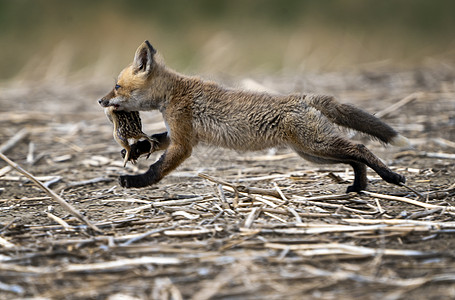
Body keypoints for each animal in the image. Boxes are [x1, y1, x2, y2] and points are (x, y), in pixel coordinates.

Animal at [98, 39, 408, 192]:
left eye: (117, 86)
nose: (100, 100)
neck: (174, 94)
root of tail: (304, 97)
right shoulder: (180, 134)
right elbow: (154, 141)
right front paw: (135, 149)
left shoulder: (184, 144)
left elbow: (157, 169)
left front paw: (135, 182)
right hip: (313, 154)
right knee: (355, 157)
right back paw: (358, 187)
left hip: (317, 146)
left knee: (360, 148)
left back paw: (391, 176)